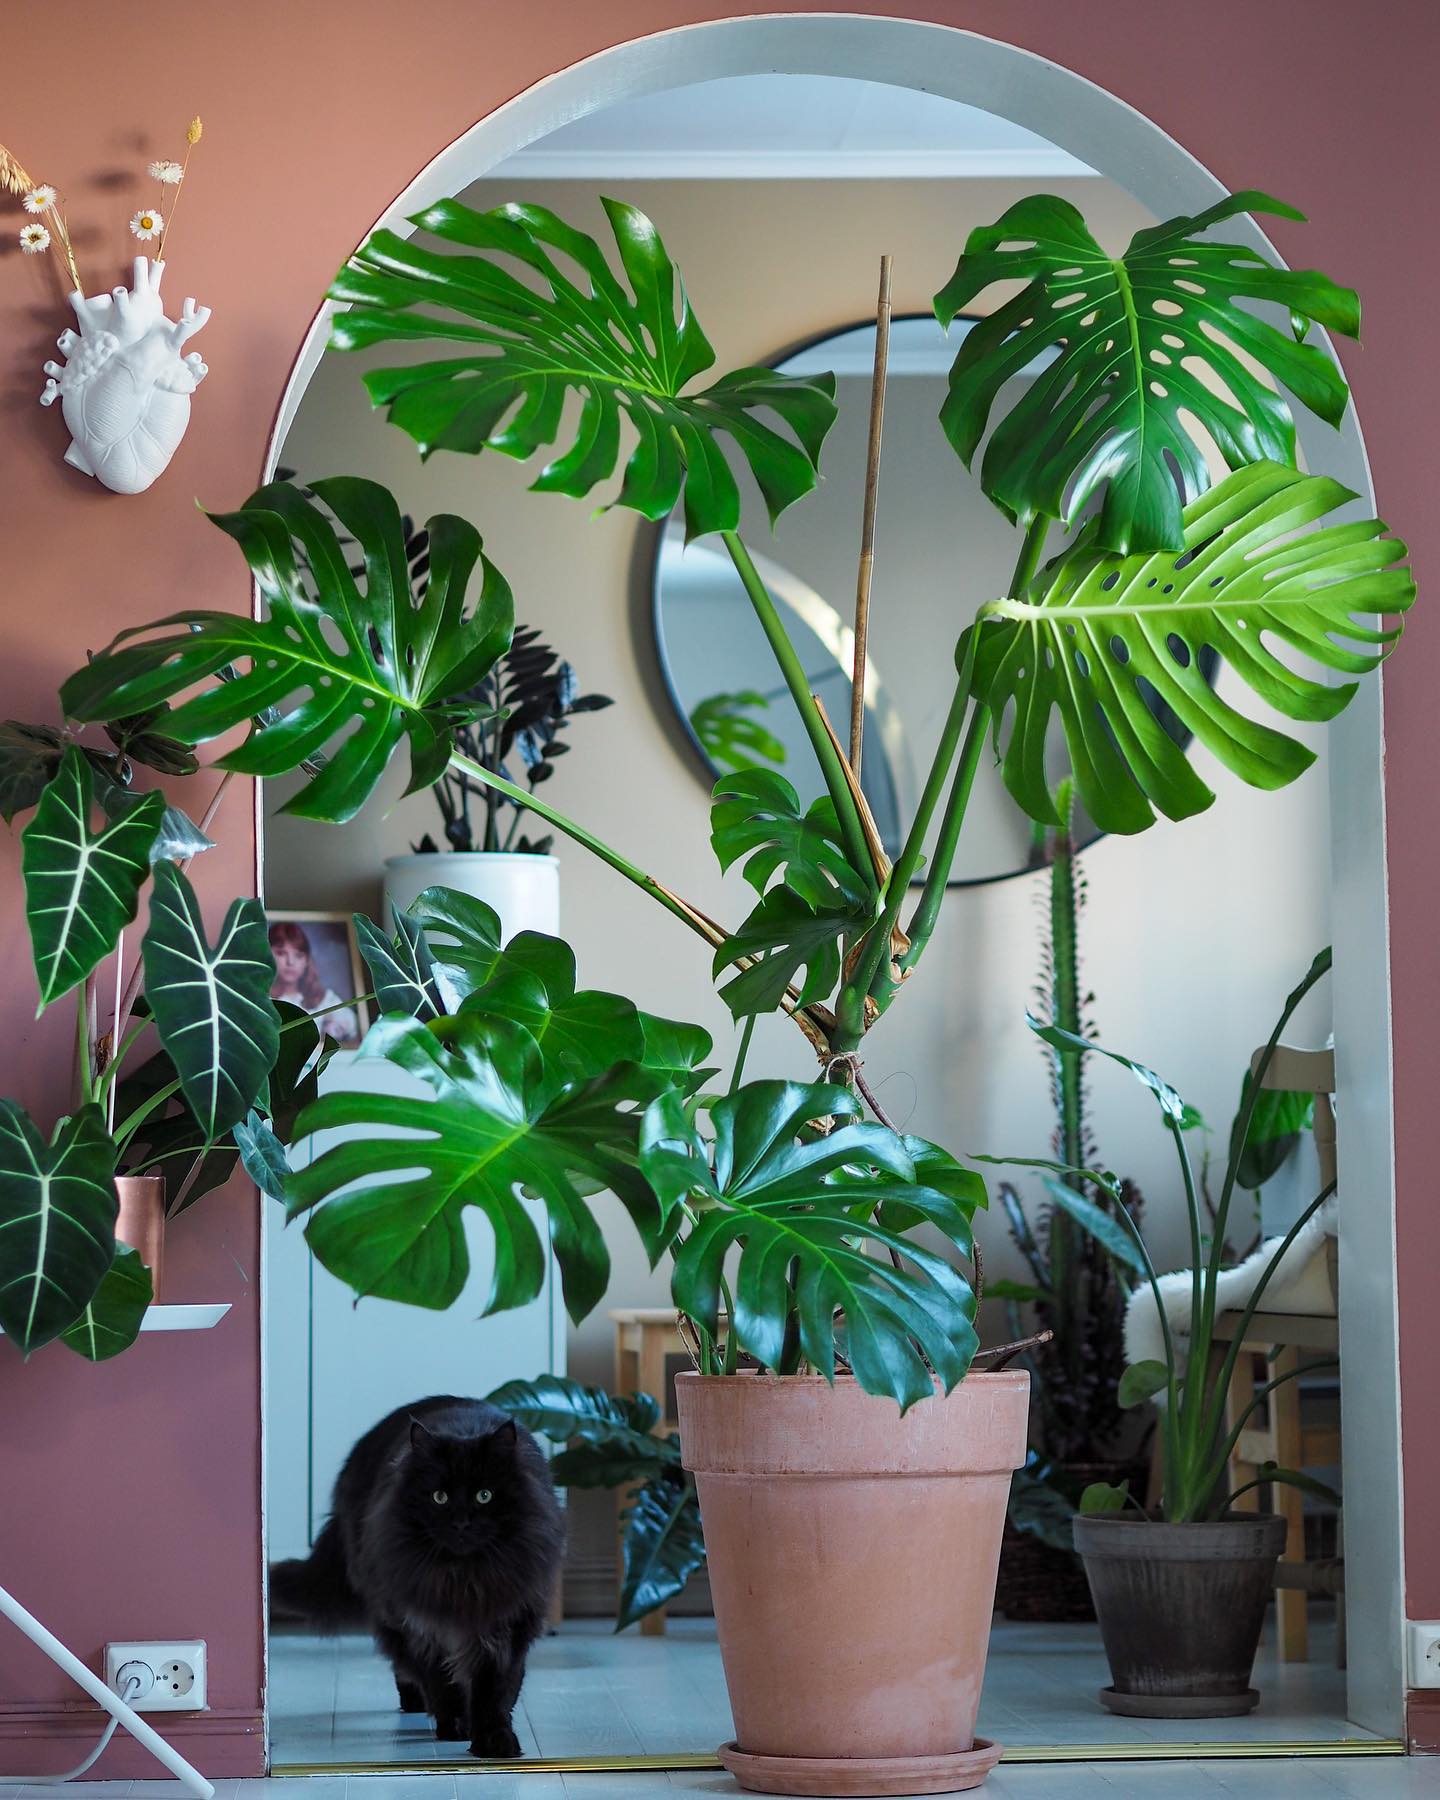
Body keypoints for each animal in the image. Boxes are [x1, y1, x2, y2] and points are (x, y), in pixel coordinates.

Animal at [273, 1389, 565, 1756]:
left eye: (484, 1495)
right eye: (439, 1497)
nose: (461, 1522)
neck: (463, 1578)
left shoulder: (507, 1625)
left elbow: (495, 1691)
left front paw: (495, 1741)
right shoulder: (420, 1626)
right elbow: (441, 1681)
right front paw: (456, 1726)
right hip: (388, 1608)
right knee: (402, 1666)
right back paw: (415, 1703)